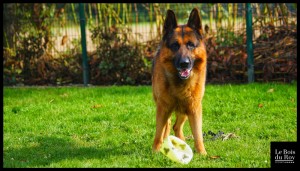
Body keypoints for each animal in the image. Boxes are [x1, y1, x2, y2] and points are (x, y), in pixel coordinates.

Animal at [151, 8, 207, 154]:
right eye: (175, 45)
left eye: (191, 45)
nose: (184, 64)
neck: (179, 83)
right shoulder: (163, 108)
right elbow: (158, 132)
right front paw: (155, 150)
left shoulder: (194, 108)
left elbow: (198, 134)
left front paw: (202, 153)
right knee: (168, 125)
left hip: (184, 111)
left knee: (176, 127)